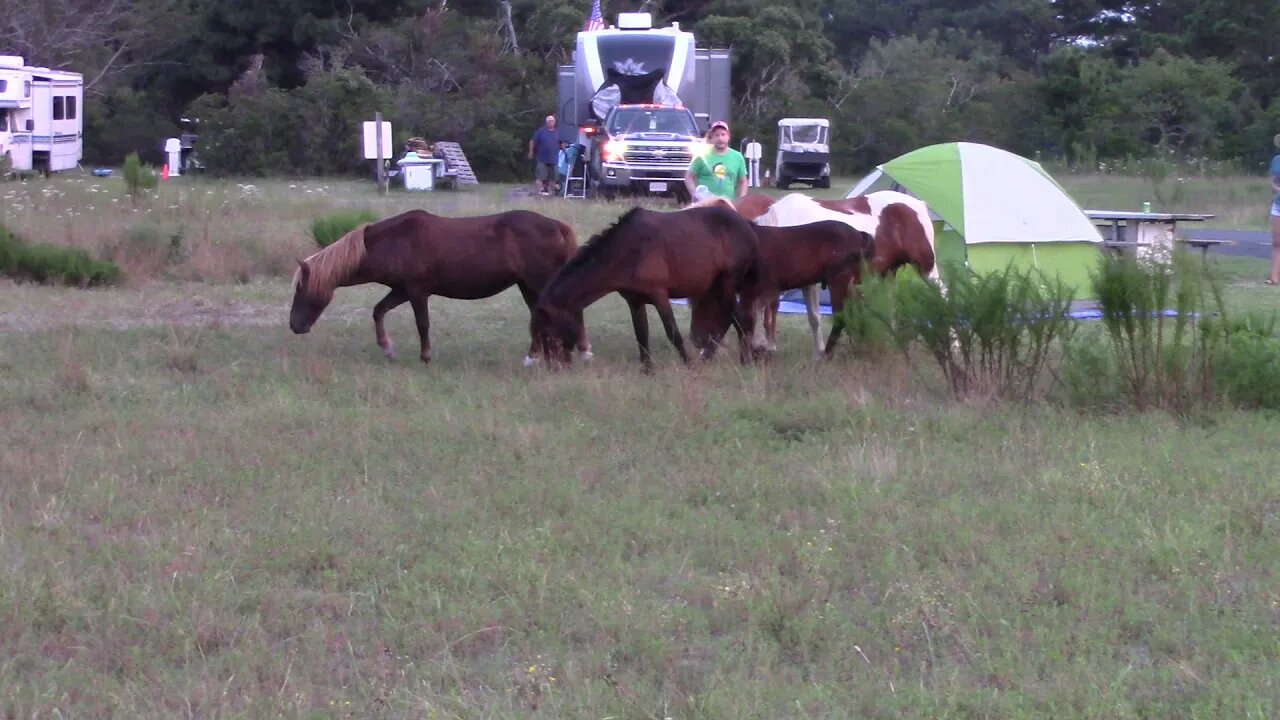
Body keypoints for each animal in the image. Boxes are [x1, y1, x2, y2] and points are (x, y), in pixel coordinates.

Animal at [288, 206, 591, 363]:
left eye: (300, 290)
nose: (294, 326)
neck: (394, 241)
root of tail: (556, 225)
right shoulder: (401, 290)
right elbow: (378, 311)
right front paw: (387, 348)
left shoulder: (417, 291)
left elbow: (422, 323)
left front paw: (425, 356)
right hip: (528, 285)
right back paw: (535, 357)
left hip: (537, 283)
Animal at [529, 203, 757, 366]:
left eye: (548, 332)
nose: (555, 367)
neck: (627, 249)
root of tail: (747, 226)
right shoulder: (635, 301)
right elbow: (641, 335)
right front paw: (647, 370)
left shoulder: (659, 295)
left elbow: (673, 333)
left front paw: (688, 364)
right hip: (715, 286)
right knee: (735, 318)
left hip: (727, 284)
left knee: (734, 317)